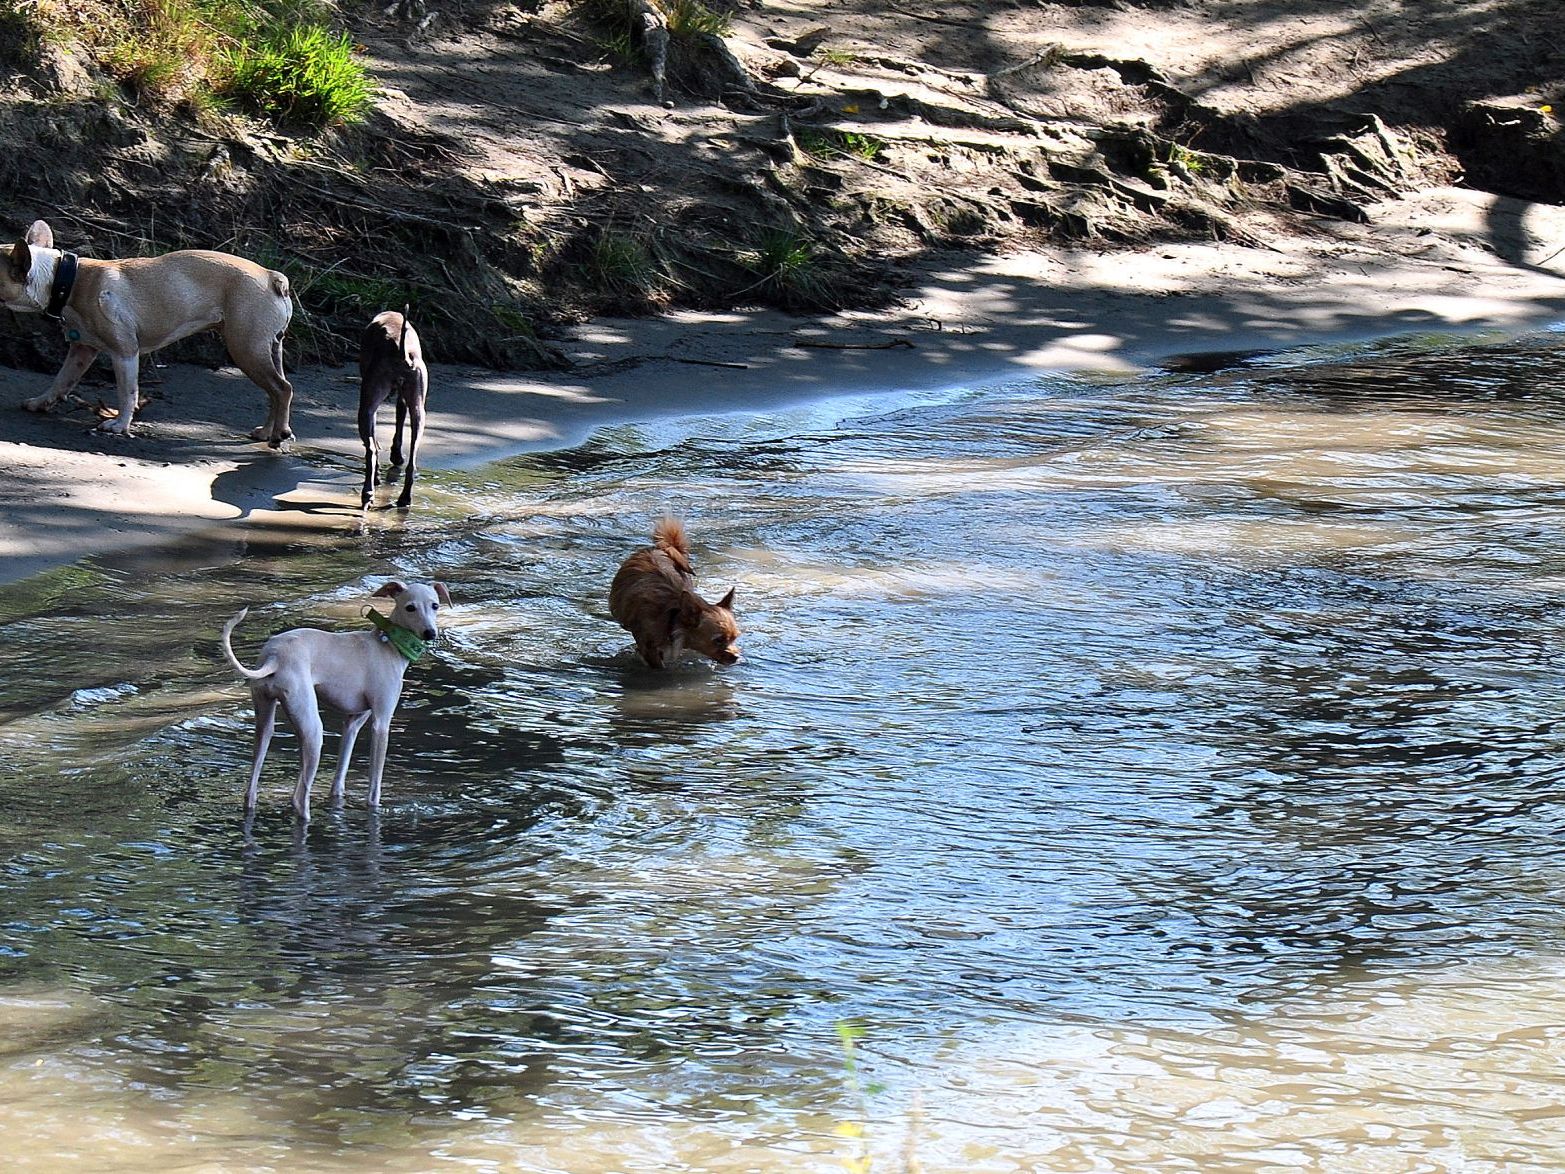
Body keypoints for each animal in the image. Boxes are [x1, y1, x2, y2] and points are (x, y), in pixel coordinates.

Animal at [2, 219, 295, 444]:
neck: (62, 278)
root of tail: (272, 276)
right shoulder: (82, 351)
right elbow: (62, 379)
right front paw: (41, 402)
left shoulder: (124, 352)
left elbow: (127, 391)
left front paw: (120, 425)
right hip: (268, 349)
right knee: (275, 390)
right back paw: (266, 432)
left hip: (245, 348)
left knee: (282, 389)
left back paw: (278, 435)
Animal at [356, 308, 428, 510]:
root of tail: (400, 350)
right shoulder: (404, 399)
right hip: (419, 410)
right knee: (412, 461)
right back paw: (404, 498)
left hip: (365, 407)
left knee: (371, 451)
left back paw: (369, 491)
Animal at [607, 522, 741, 676]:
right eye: (718, 640)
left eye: (735, 638)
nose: (736, 656)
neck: (673, 616)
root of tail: (661, 548)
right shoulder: (648, 648)